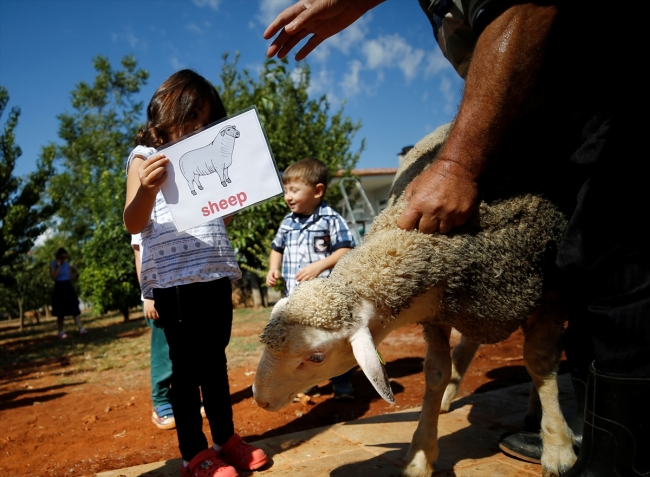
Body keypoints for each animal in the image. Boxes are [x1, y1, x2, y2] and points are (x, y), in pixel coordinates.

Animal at [251, 123, 576, 476]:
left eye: (316, 357)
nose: (259, 399)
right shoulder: (441, 313)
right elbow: (436, 373)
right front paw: (420, 455)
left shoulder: (552, 291)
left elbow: (539, 361)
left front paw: (558, 450)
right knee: (471, 343)